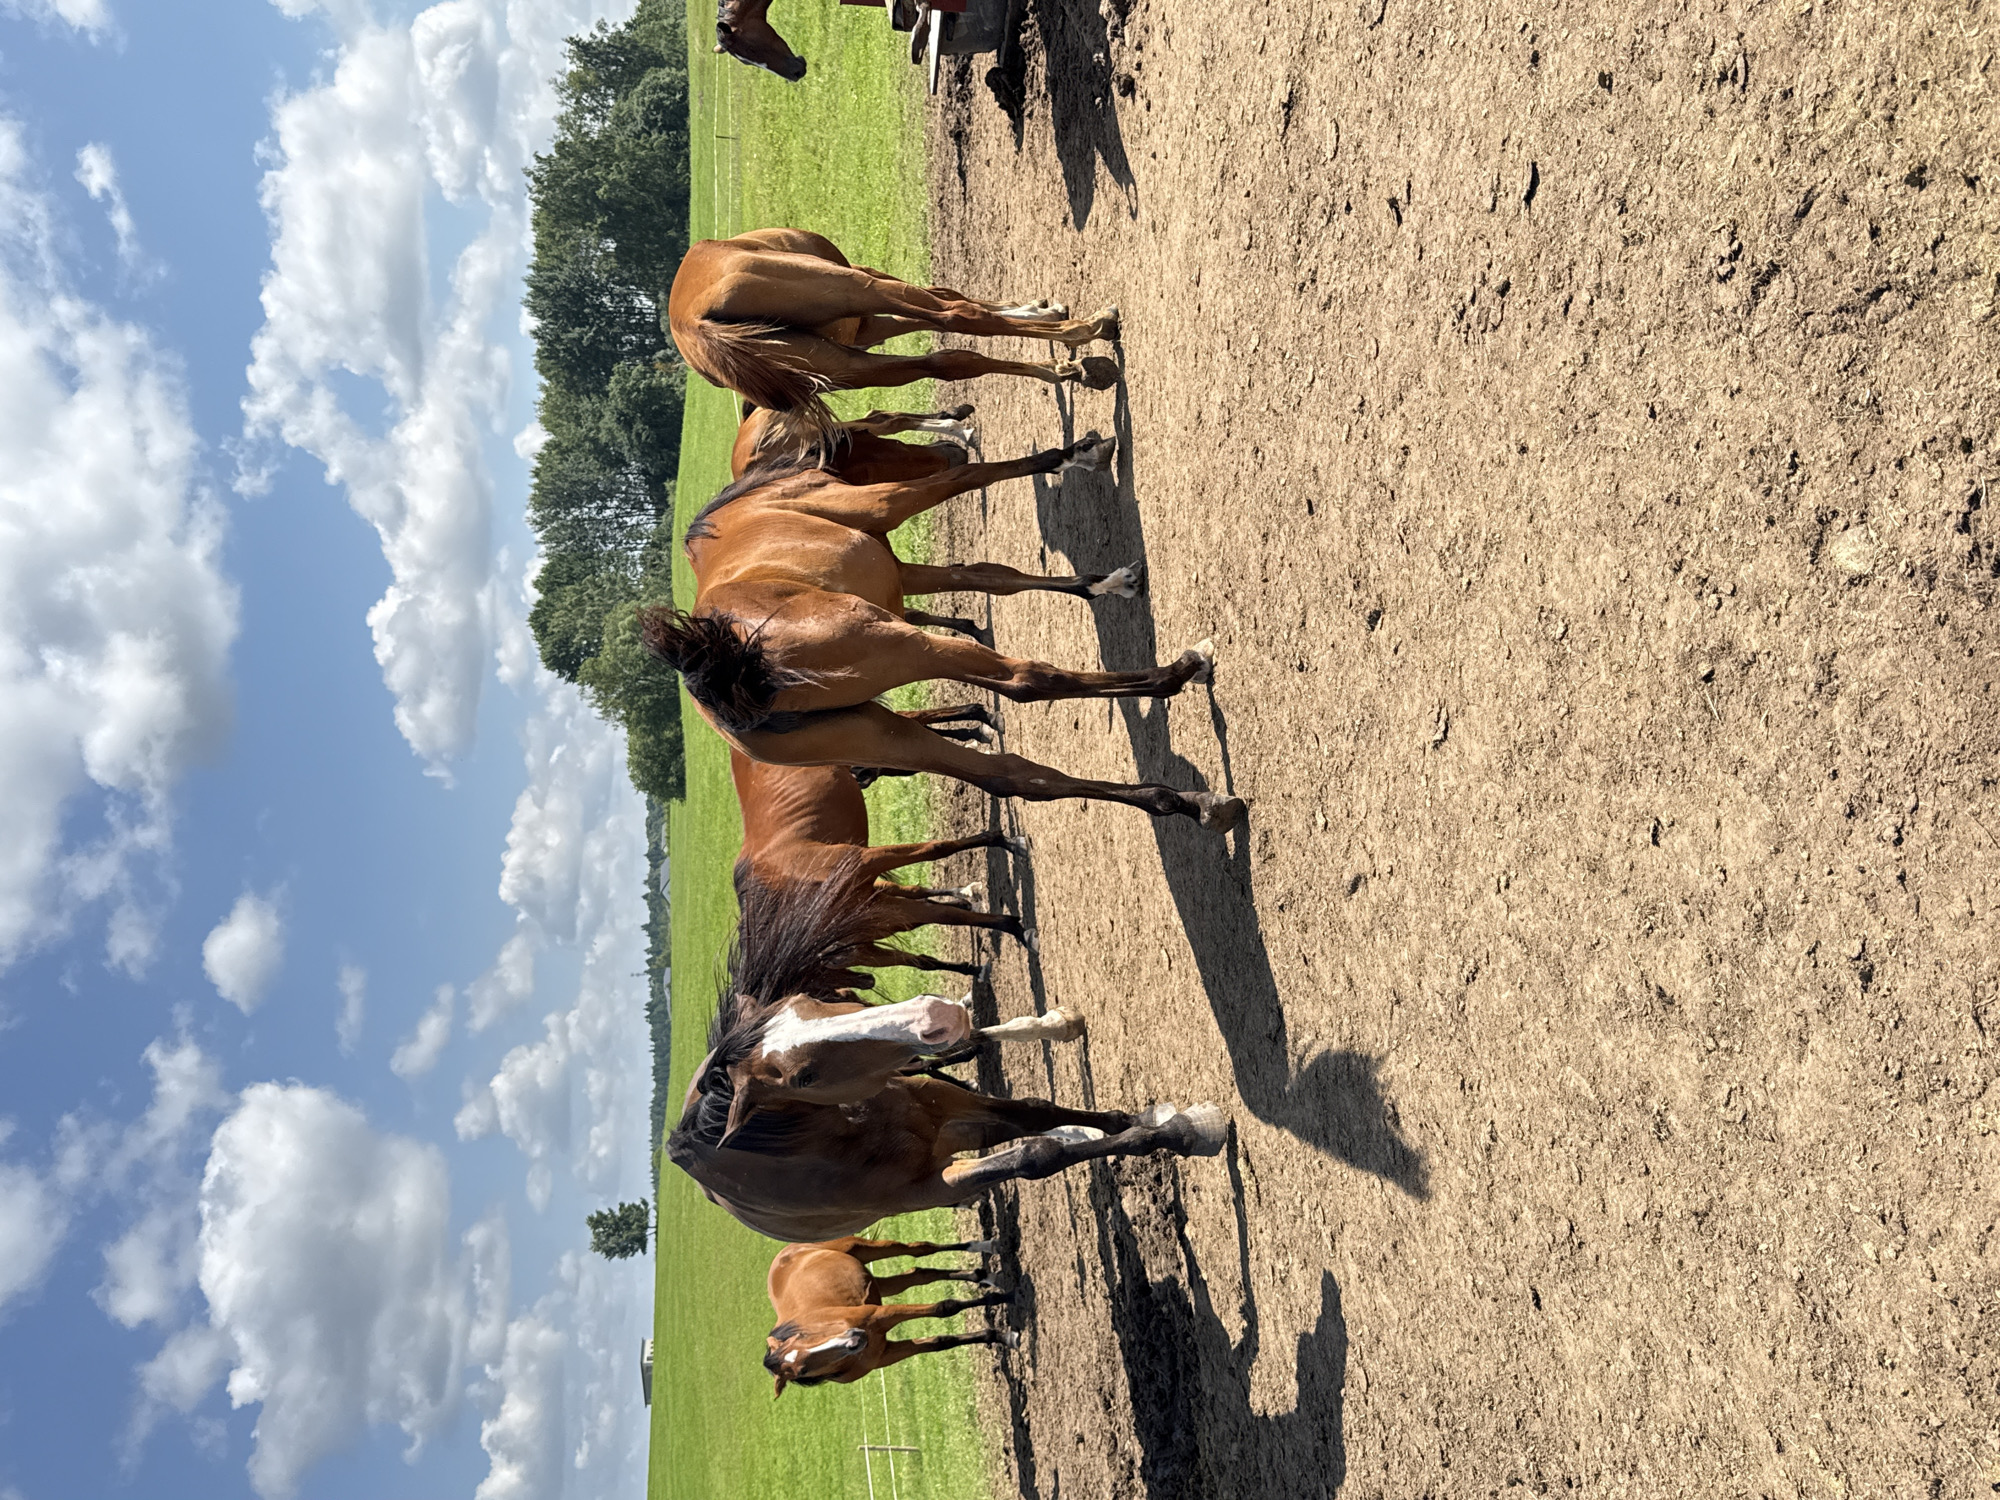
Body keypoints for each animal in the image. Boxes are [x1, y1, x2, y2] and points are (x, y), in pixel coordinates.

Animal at [641, 450, 1246, 831]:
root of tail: (721, 671)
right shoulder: (882, 510)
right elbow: (973, 479)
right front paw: (1079, 452)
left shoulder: (900, 573)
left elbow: (989, 576)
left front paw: (1105, 584)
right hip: (904, 647)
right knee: (1028, 681)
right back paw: (1181, 673)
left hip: (879, 734)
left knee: (1012, 778)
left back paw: (1189, 802)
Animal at [668, 228, 1121, 450]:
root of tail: (692, 322)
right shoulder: (870, 290)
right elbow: (952, 302)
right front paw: (1051, 316)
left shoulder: (867, 328)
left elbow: (940, 309)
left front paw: (1037, 311)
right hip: (858, 286)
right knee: (961, 318)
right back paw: (1086, 334)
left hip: (848, 365)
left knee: (947, 363)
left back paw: (1065, 369)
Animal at [764, 1236, 1016, 1395]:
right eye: (802, 1370)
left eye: (802, 1337)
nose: (854, 1339)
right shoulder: (889, 1353)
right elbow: (941, 1341)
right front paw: (1000, 1335)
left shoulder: (883, 1314)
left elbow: (944, 1307)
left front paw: (1003, 1302)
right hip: (880, 1285)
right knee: (920, 1274)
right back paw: (984, 1275)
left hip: (867, 1248)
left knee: (920, 1248)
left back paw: (986, 1246)